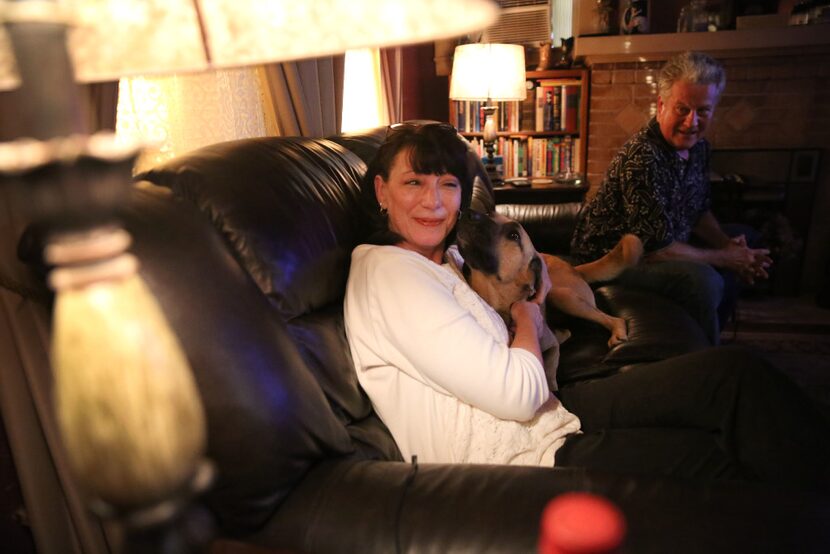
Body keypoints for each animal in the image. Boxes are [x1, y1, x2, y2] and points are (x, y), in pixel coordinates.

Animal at [456, 209, 644, 348]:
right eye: (489, 214)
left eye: (514, 235)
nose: (467, 212)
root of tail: (574, 268)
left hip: (562, 296)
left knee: (614, 319)